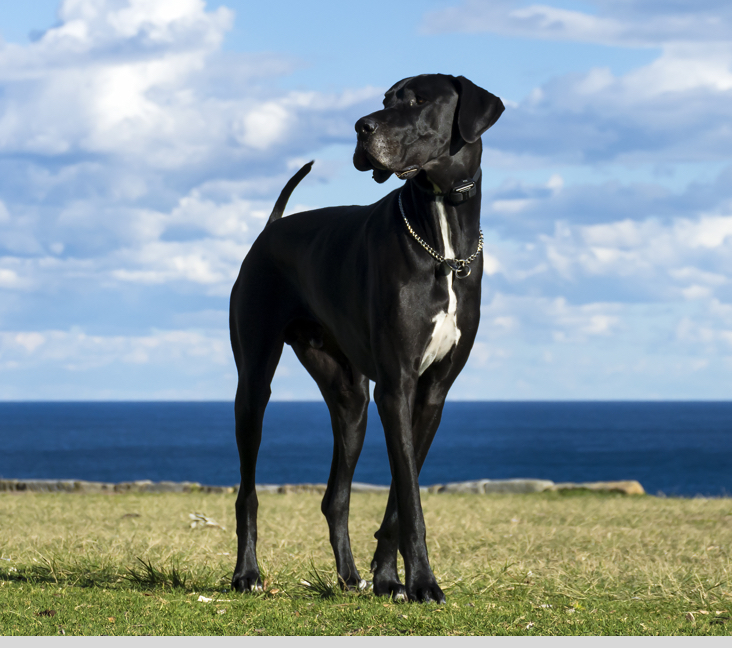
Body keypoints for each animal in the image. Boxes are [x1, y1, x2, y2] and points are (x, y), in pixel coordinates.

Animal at [230, 74, 504, 604]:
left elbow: (402, 493)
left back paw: (349, 577)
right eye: (384, 100)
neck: (442, 239)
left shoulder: (430, 392)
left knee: (335, 497)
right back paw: (247, 574)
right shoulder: (396, 387)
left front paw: (388, 580)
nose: (361, 126)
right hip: (253, 385)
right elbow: (411, 498)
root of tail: (271, 229)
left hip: (350, 398)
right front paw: (422, 582)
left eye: (418, 100)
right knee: (247, 492)